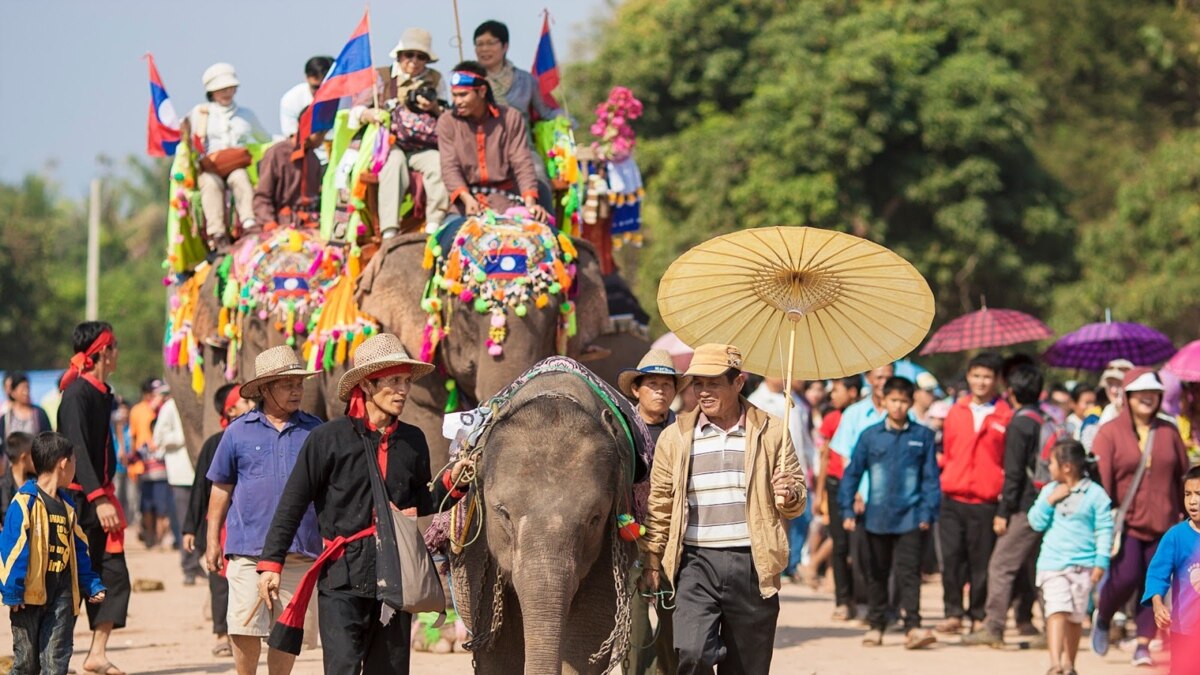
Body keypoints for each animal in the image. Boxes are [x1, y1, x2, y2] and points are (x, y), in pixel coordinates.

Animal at [448, 365, 638, 672]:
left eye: (594, 518)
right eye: (503, 513)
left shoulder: (611, 542)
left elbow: (589, 631)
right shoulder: (480, 540)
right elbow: (497, 645)